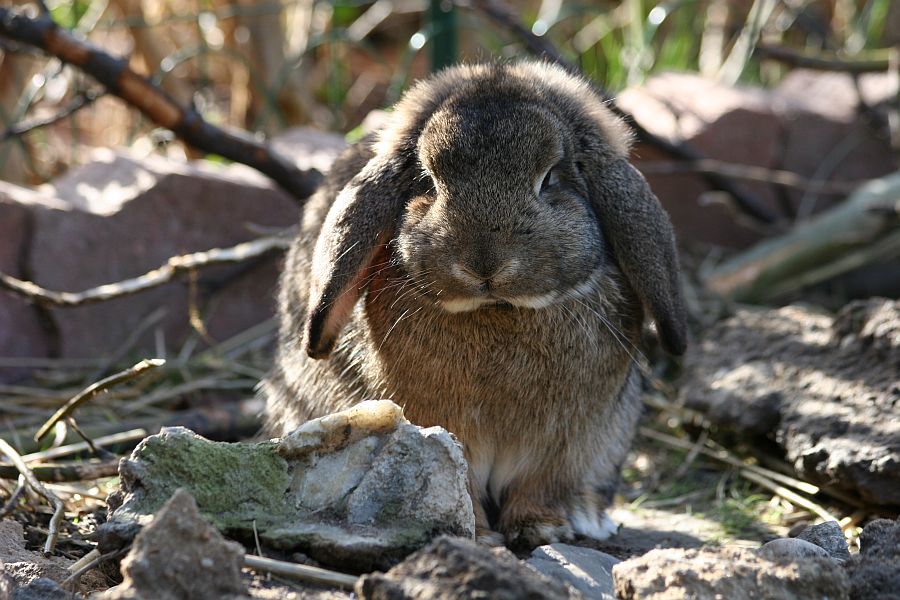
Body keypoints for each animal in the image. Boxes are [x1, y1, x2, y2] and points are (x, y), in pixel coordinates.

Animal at [264, 62, 684, 548]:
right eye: (428, 181)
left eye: (550, 179)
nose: (484, 265)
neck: (498, 310)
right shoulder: (448, 430)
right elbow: (460, 478)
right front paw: (479, 536)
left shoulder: (565, 443)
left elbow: (540, 485)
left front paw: (542, 527)